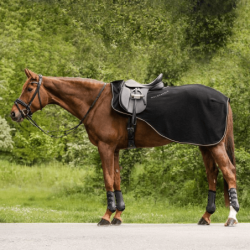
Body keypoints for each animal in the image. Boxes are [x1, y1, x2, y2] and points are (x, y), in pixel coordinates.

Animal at [10, 68, 239, 227]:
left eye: (29, 88)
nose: (14, 113)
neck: (97, 103)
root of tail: (224, 98)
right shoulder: (115, 149)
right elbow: (117, 179)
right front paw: (118, 215)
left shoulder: (105, 147)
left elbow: (108, 179)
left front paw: (106, 216)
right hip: (206, 146)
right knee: (212, 174)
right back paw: (206, 216)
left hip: (215, 146)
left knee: (229, 172)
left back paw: (231, 217)